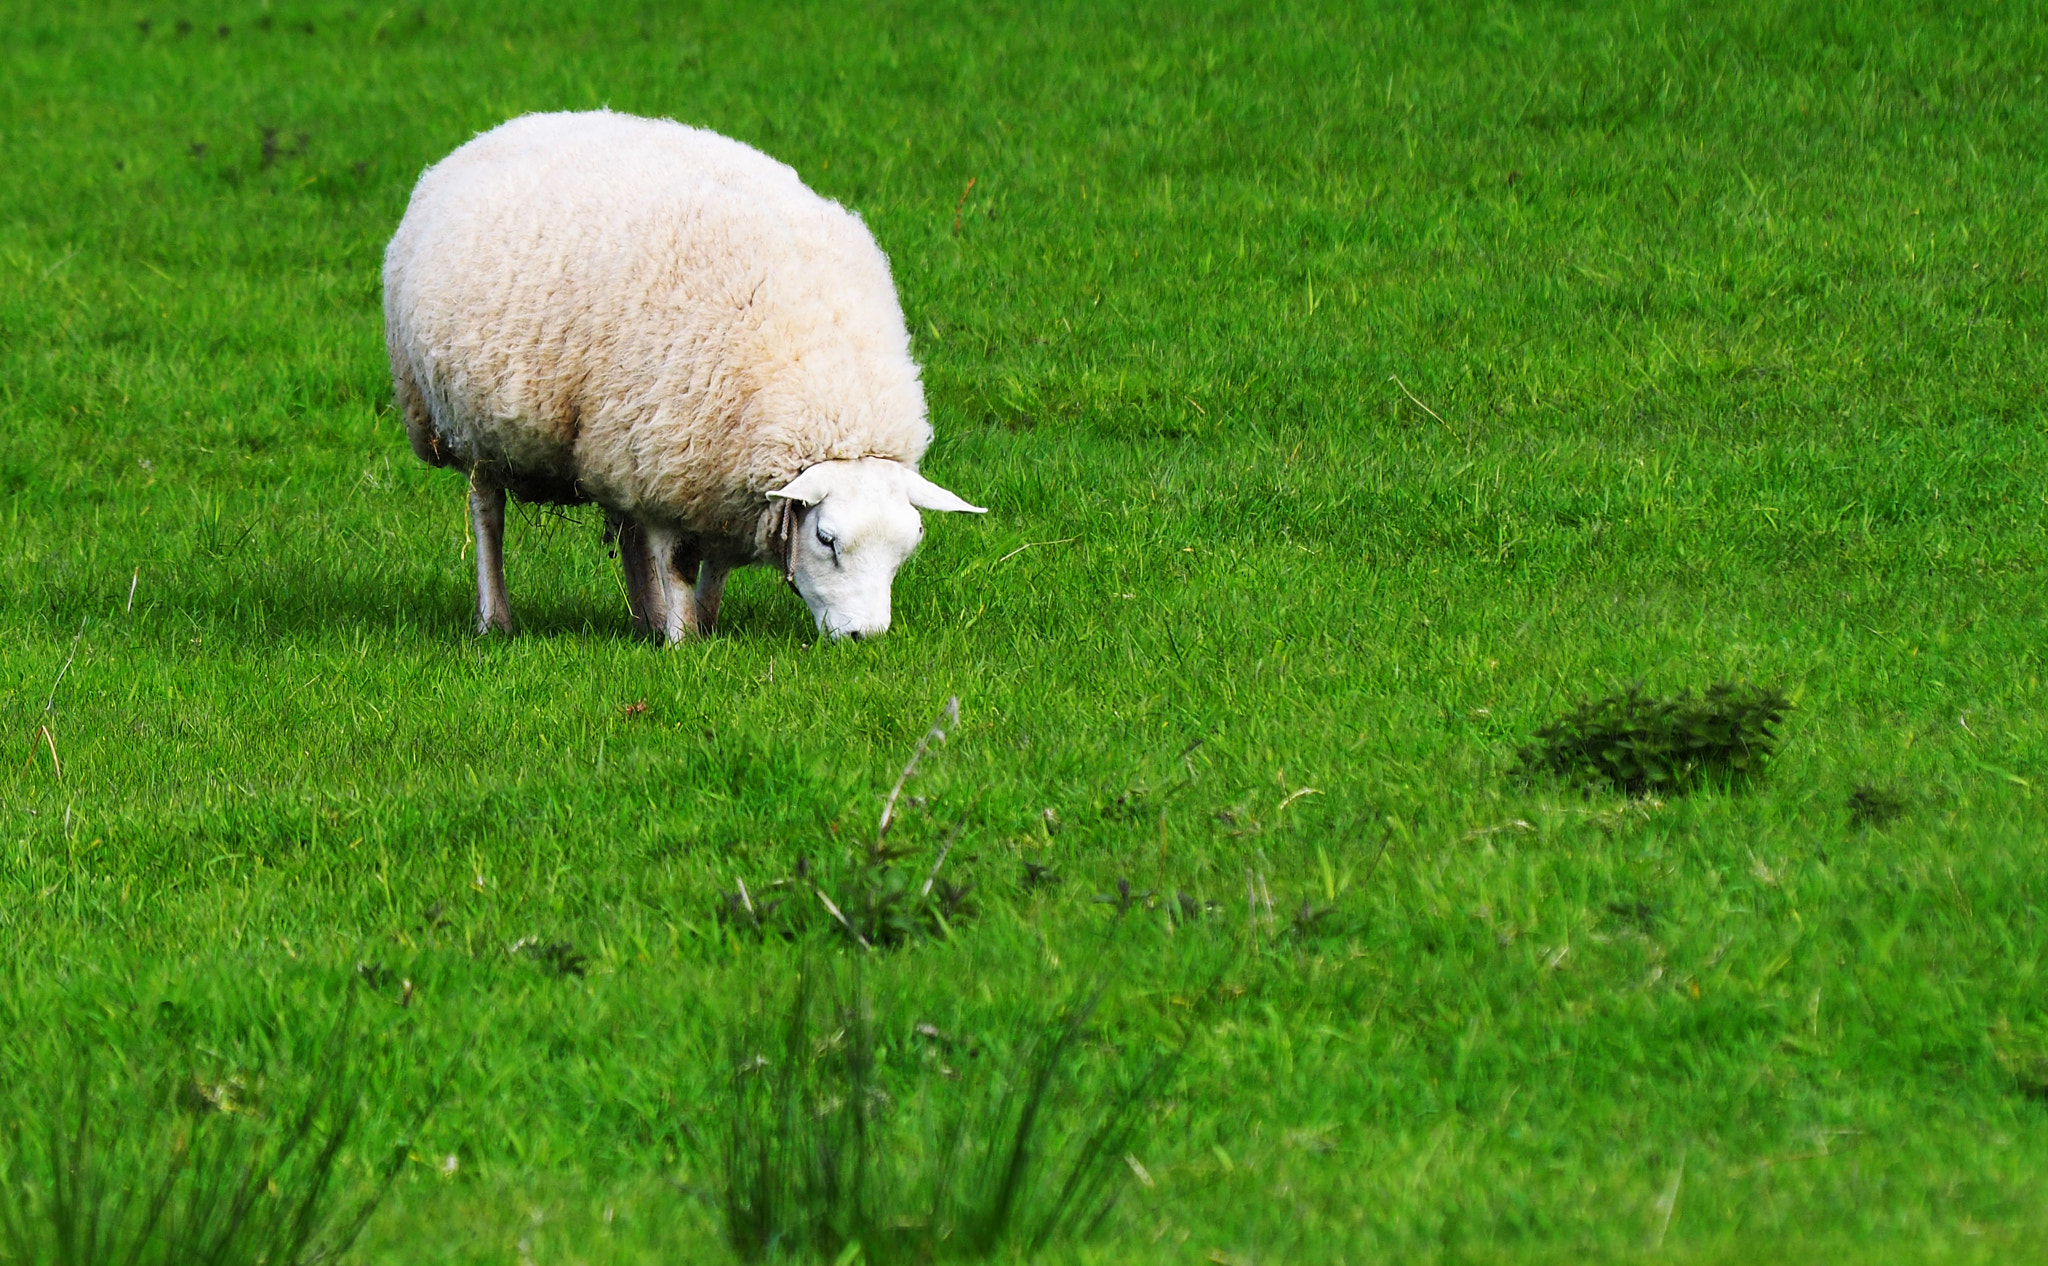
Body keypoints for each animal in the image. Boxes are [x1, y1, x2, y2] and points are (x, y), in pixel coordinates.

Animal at [381, 110, 984, 642]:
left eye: (909, 545)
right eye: (826, 539)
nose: (865, 636)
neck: (826, 385)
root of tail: (493, 133)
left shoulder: (717, 478)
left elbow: (713, 565)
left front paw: (703, 625)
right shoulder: (676, 461)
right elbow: (676, 561)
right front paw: (683, 643)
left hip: (615, 436)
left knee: (624, 528)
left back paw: (643, 620)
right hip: (471, 426)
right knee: (488, 515)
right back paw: (496, 621)